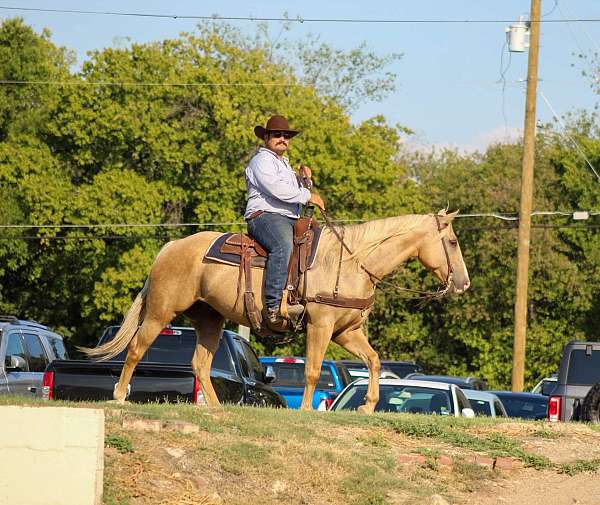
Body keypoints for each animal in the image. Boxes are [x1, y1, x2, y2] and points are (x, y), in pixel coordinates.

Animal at [84, 211, 468, 412]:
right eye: (452, 241)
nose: (463, 283)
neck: (350, 262)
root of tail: (171, 246)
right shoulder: (320, 325)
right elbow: (312, 370)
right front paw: (307, 411)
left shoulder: (347, 331)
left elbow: (373, 361)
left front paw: (368, 405)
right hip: (162, 310)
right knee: (136, 348)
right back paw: (119, 396)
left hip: (210, 319)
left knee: (199, 364)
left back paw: (216, 408)